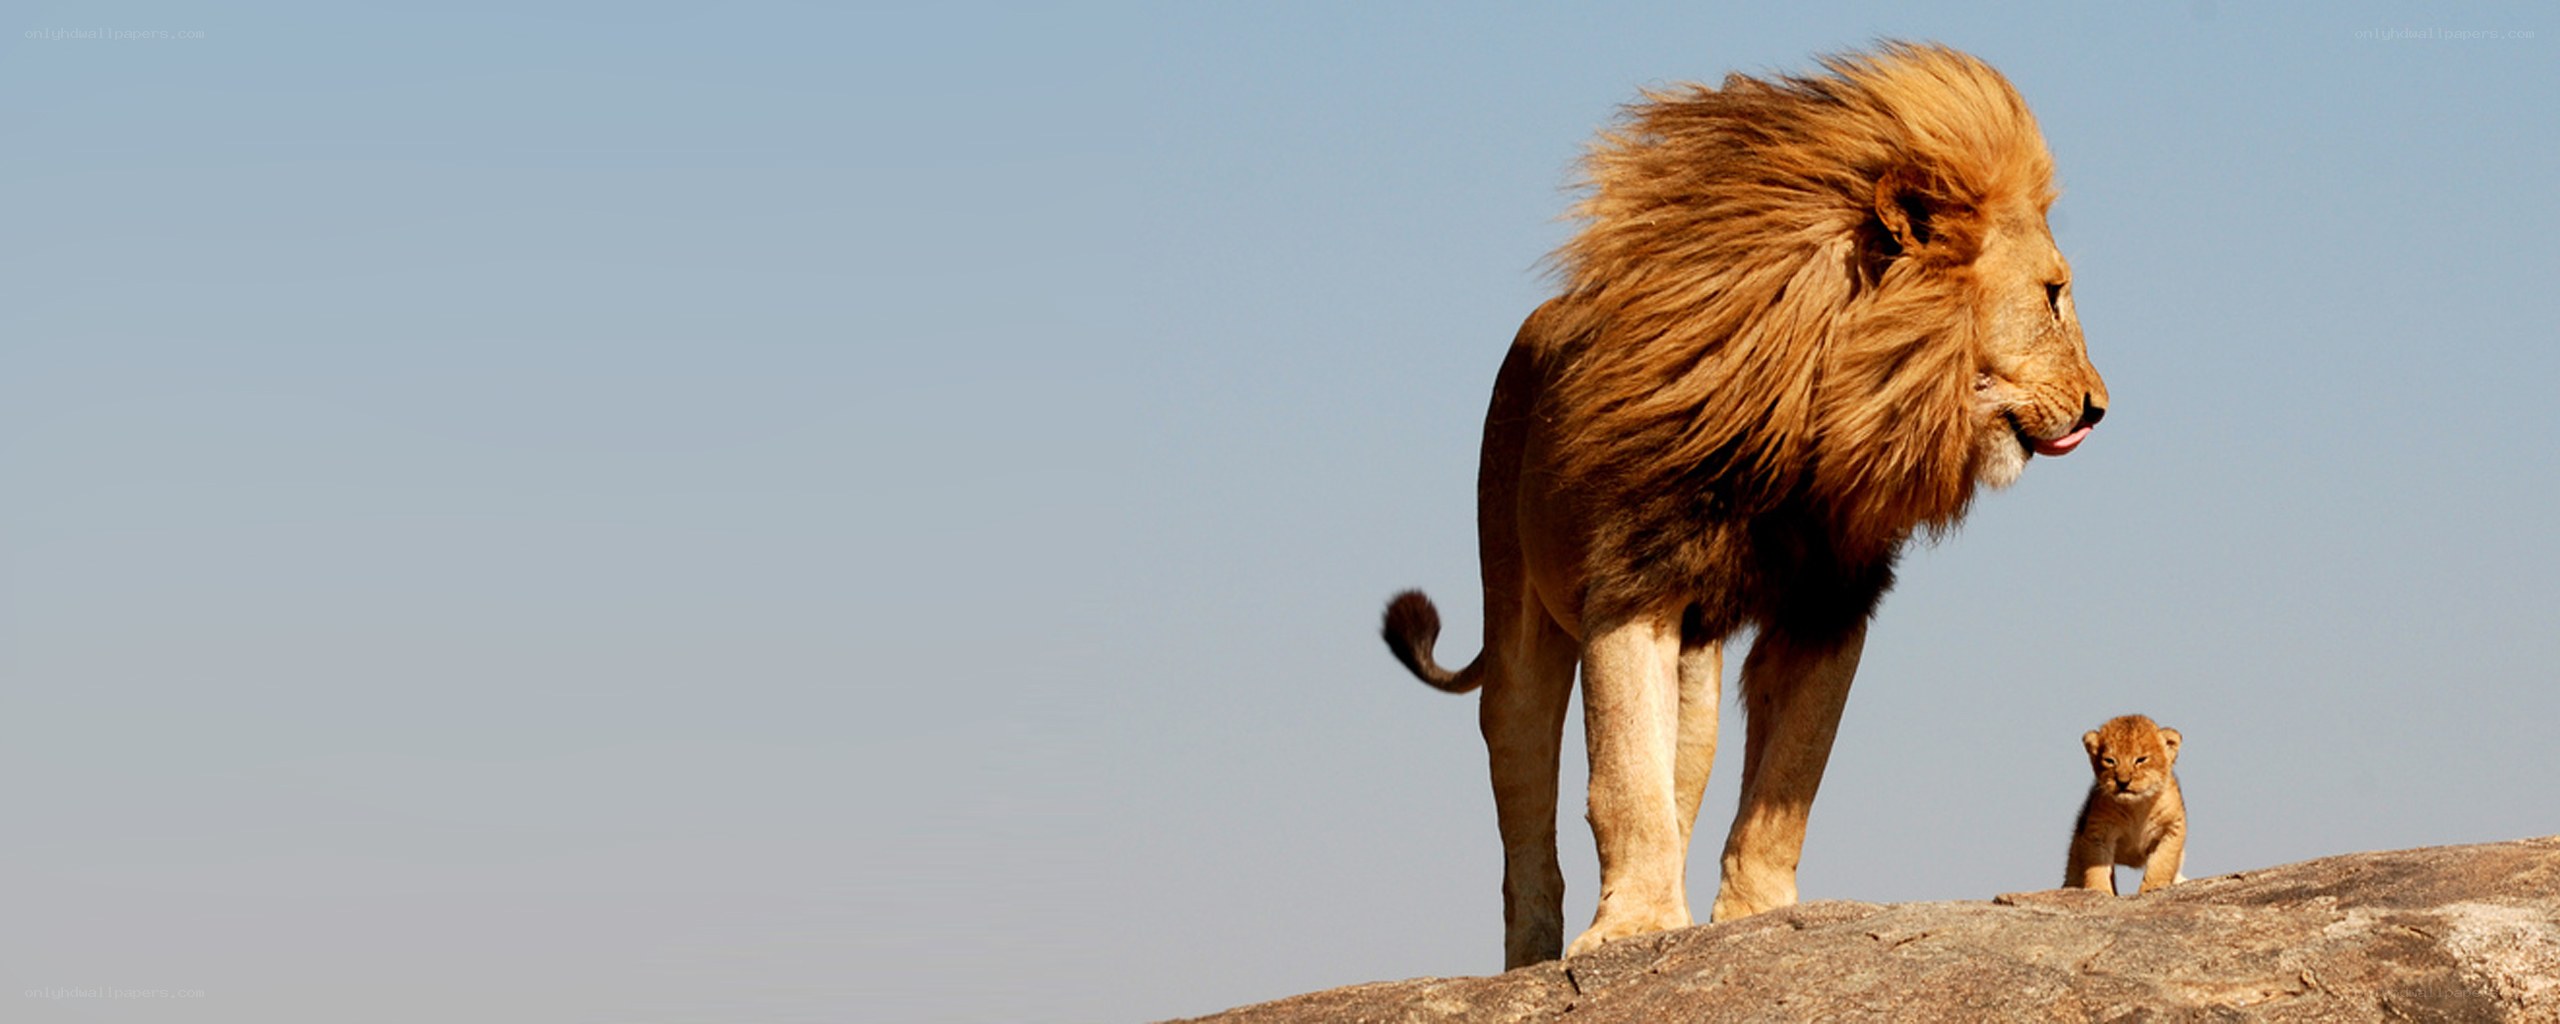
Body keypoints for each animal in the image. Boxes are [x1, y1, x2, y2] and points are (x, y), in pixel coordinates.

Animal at [1381, 43, 2108, 968]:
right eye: (2053, 294)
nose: (2099, 407)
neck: (1815, 412)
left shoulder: (1830, 605)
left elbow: (1785, 785)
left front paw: (1752, 918)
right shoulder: (1631, 586)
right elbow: (1623, 779)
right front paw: (1634, 928)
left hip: (1698, 673)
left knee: (1683, 772)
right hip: (1516, 622)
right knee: (1525, 805)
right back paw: (1534, 957)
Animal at [2065, 714, 2187, 894]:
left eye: (2141, 759)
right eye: (2110, 760)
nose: (2123, 782)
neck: (2136, 807)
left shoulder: (2172, 827)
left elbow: (2162, 862)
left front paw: (2152, 887)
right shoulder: (2099, 831)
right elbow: (2097, 867)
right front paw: (2100, 890)